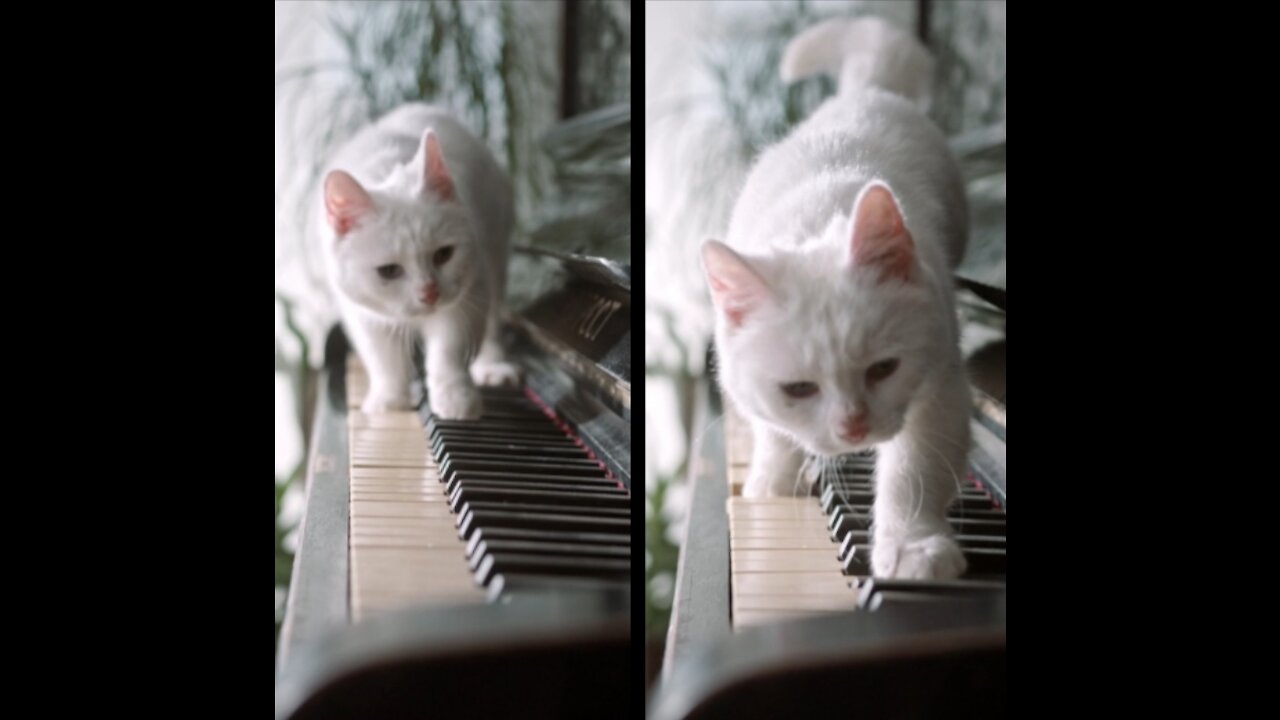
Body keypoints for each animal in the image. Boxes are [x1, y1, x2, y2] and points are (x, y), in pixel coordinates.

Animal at [318, 99, 519, 415]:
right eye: (388, 271)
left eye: (444, 254)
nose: (430, 292)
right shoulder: (364, 316)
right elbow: (384, 359)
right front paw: (389, 400)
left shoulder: (468, 297)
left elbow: (449, 351)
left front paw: (455, 398)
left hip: (495, 256)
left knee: (493, 325)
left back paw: (492, 367)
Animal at [701, 18, 967, 576]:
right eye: (799, 388)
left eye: (883, 369)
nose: (854, 427)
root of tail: (863, 93)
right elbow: (773, 431)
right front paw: (774, 481)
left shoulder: (942, 383)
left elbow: (914, 469)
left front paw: (912, 546)